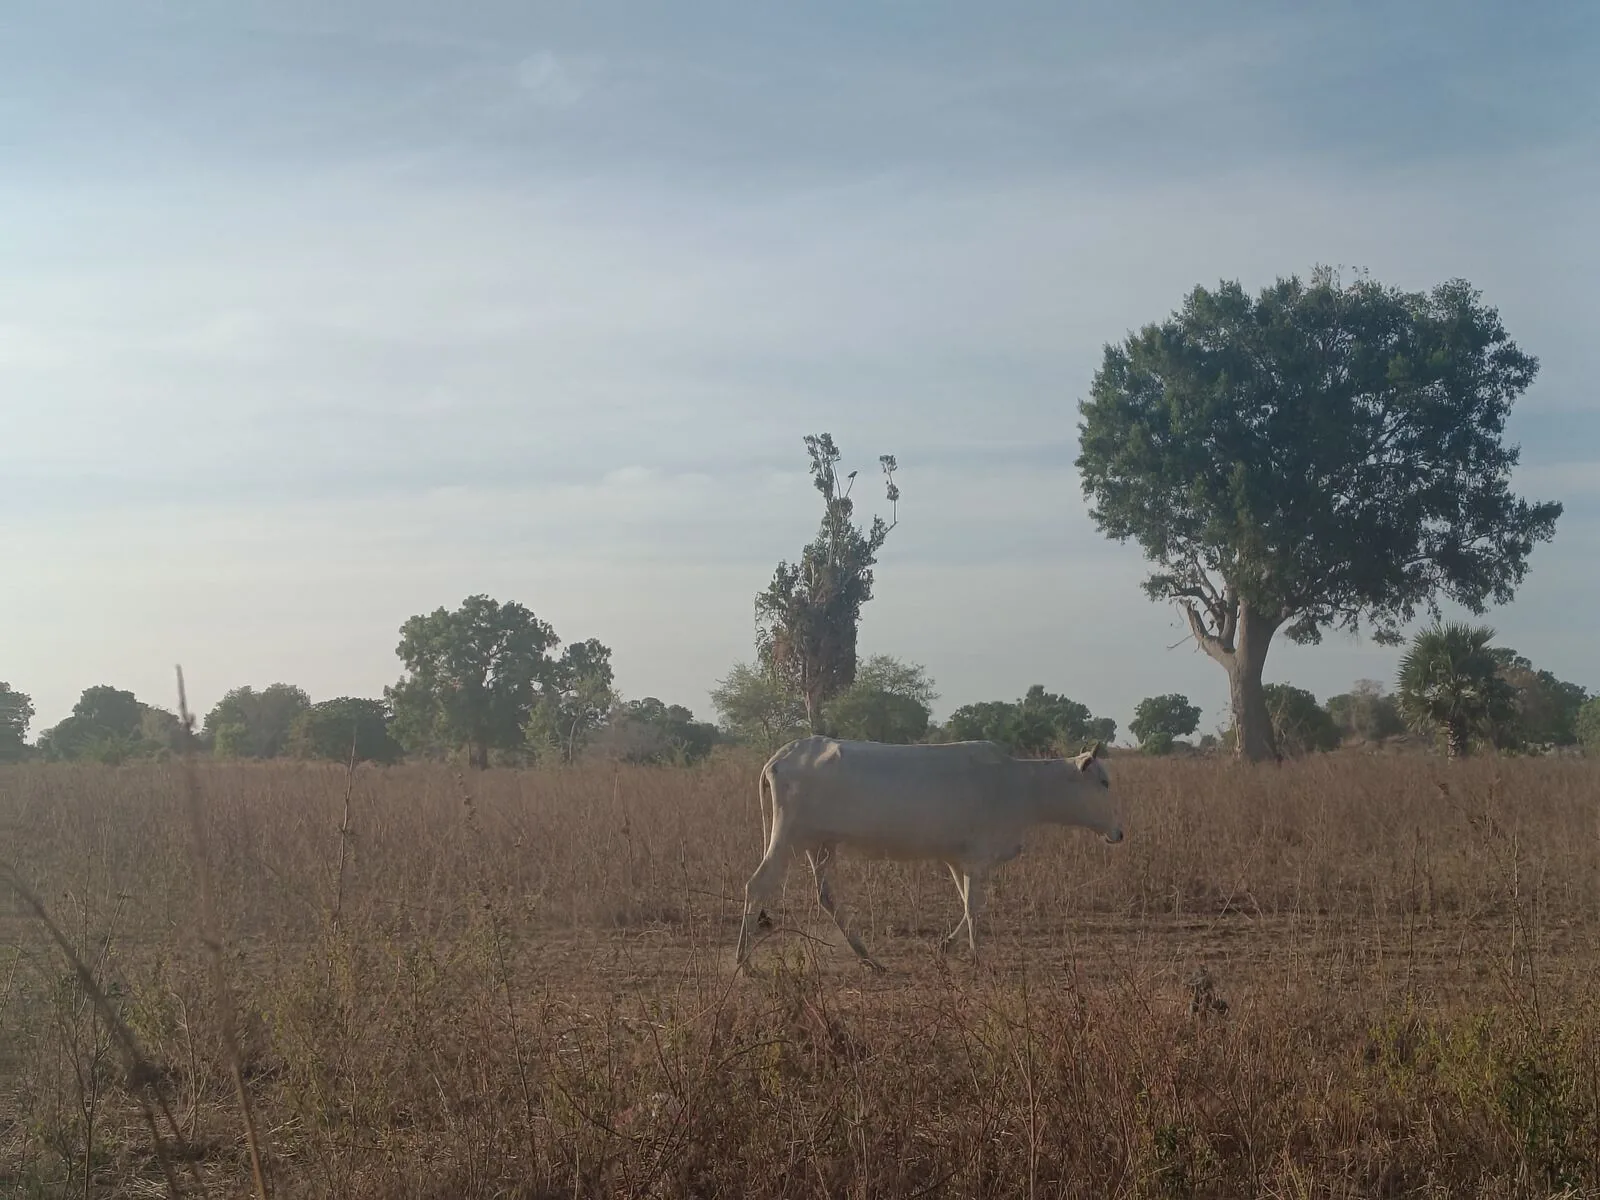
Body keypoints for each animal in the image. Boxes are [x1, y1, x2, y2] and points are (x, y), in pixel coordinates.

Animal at [733, 736, 1123, 972]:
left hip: (820, 844)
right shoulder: (979, 858)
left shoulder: (957, 860)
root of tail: (779, 757)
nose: (1119, 832)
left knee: (825, 896)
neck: (1022, 785)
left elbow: (966, 903)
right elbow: (974, 907)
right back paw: (743, 960)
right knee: (756, 885)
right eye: (1103, 782)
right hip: (787, 837)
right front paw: (976, 955)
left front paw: (948, 945)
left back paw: (868, 957)